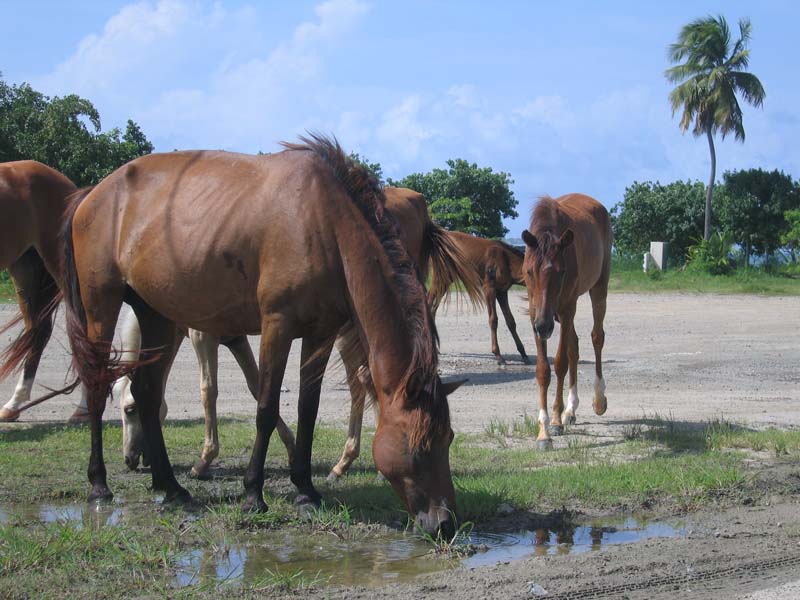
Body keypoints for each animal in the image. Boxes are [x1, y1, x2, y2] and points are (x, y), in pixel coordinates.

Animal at [520, 195, 612, 448]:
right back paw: (570, 410)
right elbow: (543, 369)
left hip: (598, 288)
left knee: (596, 337)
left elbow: (560, 363)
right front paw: (543, 432)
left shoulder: (567, 307)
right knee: (575, 346)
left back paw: (598, 400)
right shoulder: (536, 312)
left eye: (561, 272)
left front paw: (554, 421)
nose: (543, 327)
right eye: (529, 271)